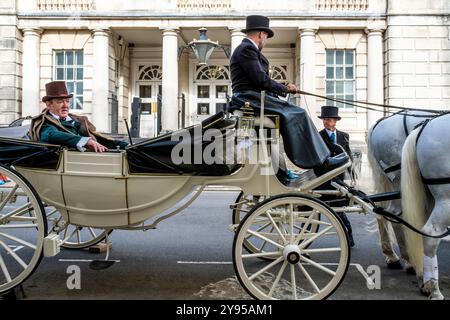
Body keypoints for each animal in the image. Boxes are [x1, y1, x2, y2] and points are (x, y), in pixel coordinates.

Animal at [370, 110, 432, 272]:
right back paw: (409, 260)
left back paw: (392, 256)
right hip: (400, 178)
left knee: (382, 213)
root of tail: (381, 121)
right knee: (395, 214)